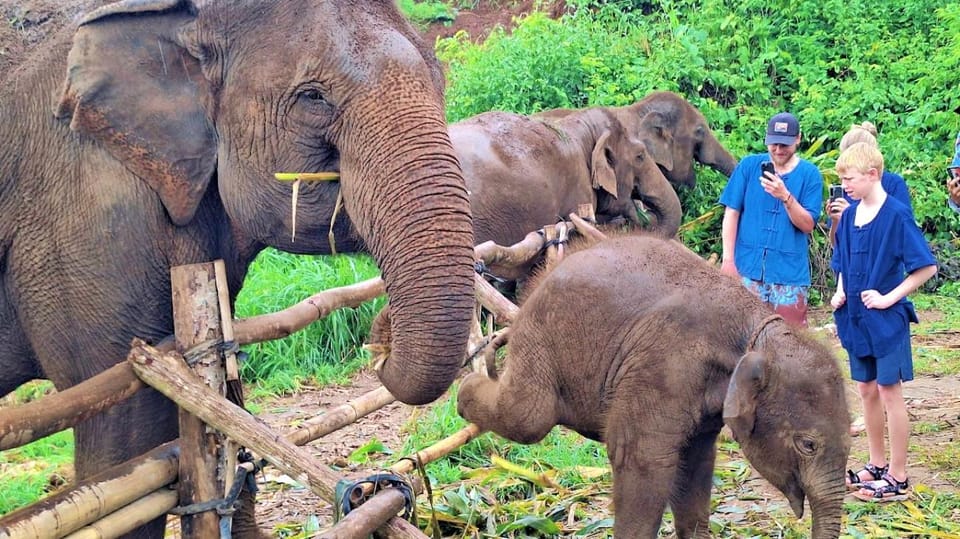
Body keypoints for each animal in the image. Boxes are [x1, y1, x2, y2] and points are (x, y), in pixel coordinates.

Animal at [0, 0, 476, 536]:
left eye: (439, 80)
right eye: (313, 97)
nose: (380, 341)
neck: (181, 19)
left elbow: (227, 402)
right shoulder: (87, 220)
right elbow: (126, 434)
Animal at [458, 235, 848, 539]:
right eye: (808, 445)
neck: (756, 333)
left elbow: (695, 462)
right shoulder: (663, 365)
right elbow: (642, 460)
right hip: (541, 335)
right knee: (529, 417)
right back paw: (469, 384)